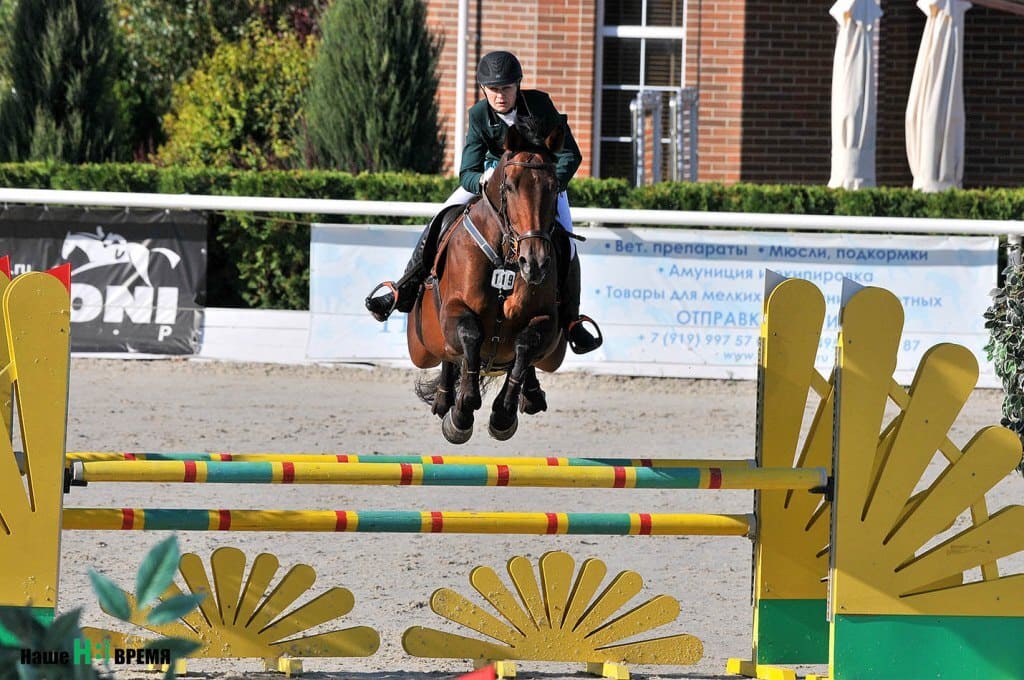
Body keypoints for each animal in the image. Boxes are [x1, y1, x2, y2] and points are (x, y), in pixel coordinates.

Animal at [405, 118, 569, 444]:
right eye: (510, 186)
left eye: (554, 187)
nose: (535, 263)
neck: (507, 257)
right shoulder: (453, 310)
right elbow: (470, 335)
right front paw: (462, 411)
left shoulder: (547, 321)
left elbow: (524, 346)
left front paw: (503, 414)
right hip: (421, 348)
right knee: (448, 354)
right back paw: (445, 399)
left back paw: (529, 395)